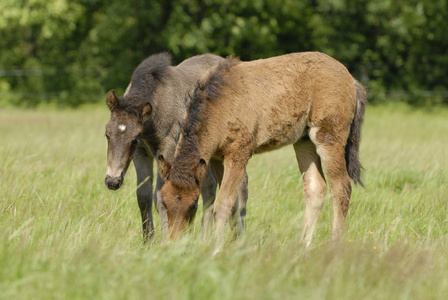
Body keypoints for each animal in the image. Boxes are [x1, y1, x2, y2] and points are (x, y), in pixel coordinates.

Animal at [103, 53, 248, 241]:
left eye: (134, 139)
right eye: (107, 134)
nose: (112, 181)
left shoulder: (167, 149)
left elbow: (159, 196)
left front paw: (165, 239)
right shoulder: (141, 154)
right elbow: (143, 195)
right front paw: (148, 240)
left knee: (240, 182)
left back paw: (238, 235)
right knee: (210, 184)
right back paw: (207, 237)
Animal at [159, 52, 366, 251]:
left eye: (194, 205)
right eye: (163, 202)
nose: (174, 243)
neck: (220, 104)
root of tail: (352, 80)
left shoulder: (239, 154)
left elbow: (224, 203)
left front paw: (216, 250)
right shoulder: (217, 158)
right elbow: (234, 203)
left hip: (329, 136)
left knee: (341, 189)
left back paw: (334, 244)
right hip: (304, 141)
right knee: (316, 188)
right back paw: (301, 246)